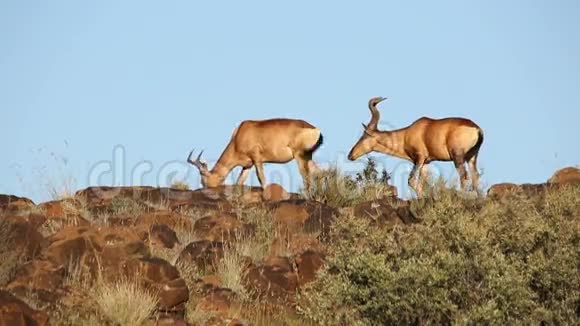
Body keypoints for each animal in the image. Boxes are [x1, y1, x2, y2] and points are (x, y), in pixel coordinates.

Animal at [187, 118, 322, 188]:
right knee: (320, 173)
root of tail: (315, 129)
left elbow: (261, 178)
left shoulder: (257, 158)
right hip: (308, 156)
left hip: (299, 156)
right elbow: (239, 182)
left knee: (306, 177)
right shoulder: (248, 165)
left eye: (204, 181)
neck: (240, 133)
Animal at [348, 95, 484, 195]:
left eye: (364, 136)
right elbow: (426, 183)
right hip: (472, 157)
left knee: (464, 176)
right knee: (475, 176)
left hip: (457, 157)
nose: (350, 155)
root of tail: (477, 129)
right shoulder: (426, 162)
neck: (408, 133)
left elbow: (412, 181)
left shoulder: (419, 158)